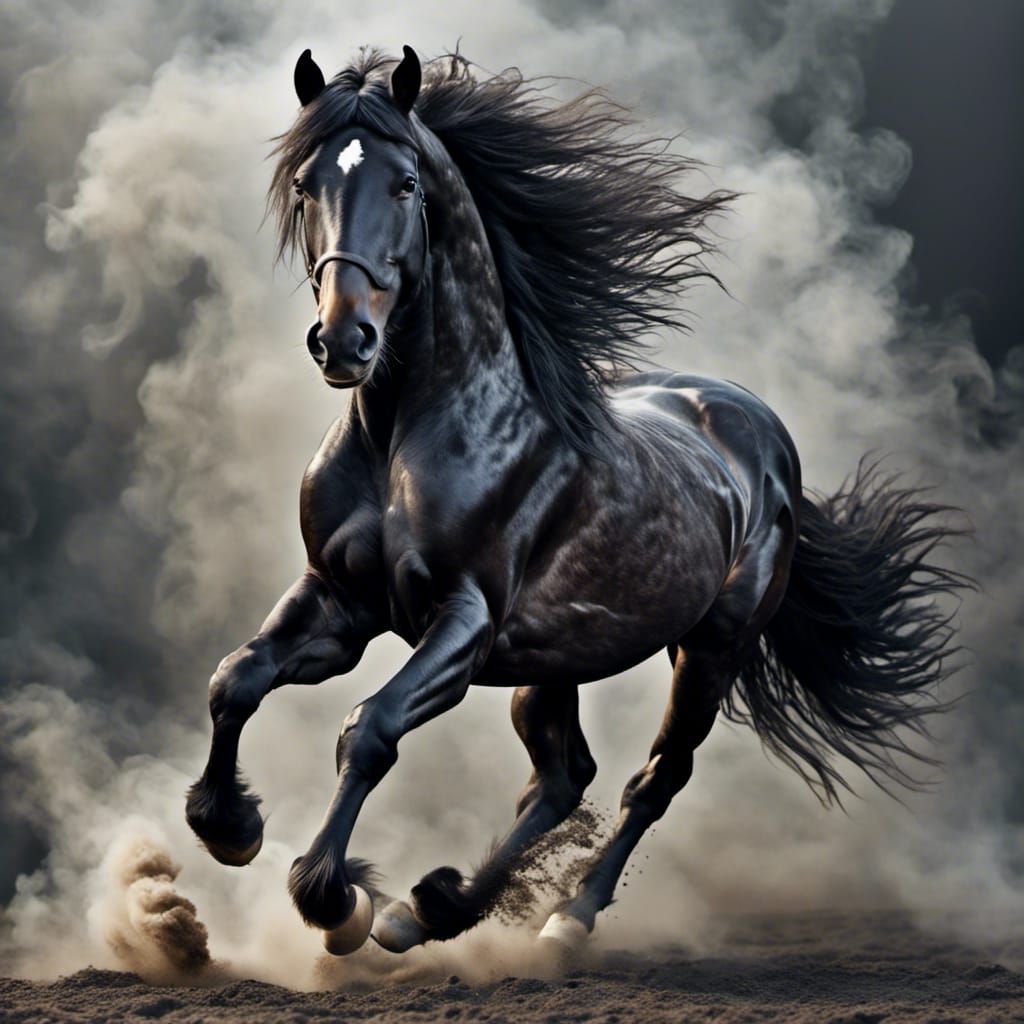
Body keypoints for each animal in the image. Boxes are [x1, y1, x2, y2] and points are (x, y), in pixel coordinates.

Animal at [185, 46, 967, 956]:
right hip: (553, 662)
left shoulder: (463, 623)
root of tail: (763, 434)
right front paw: (229, 828)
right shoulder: (340, 601)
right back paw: (431, 911)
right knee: (563, 780)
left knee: (653, 779)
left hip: (710, 649)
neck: (405, 434)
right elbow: (236, 678)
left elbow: (370, 728)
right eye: (307, 184)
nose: (344, 341)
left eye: (406, 184)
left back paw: (563, 919)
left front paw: (333, 901)